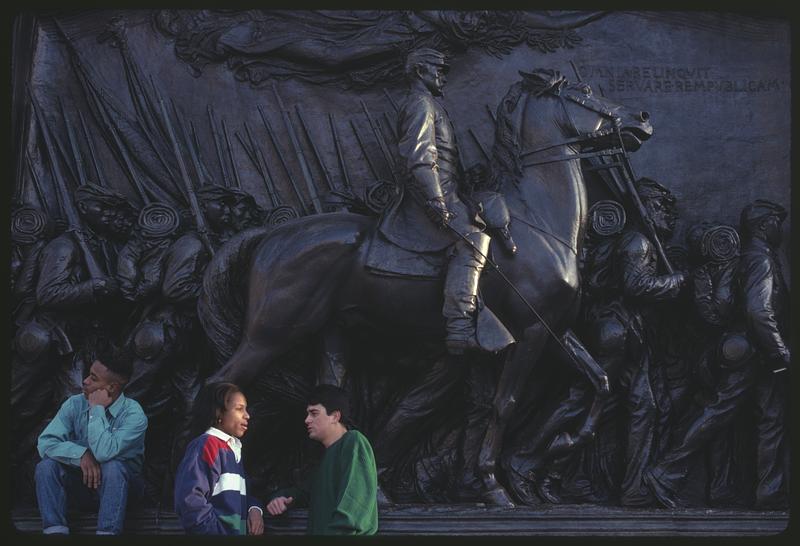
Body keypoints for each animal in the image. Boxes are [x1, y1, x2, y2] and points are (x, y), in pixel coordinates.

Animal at [198, 70, 648, 504]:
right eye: (585, 90)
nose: (641, 119)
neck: (537, 220)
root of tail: (271, 235)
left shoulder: (554, 329)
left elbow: (599, 381)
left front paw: (563, 442)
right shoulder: (530, 333)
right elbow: (504, 405)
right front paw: (493, 482)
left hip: (331, 333)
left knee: (328, 398)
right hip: (272, 333)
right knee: (218, 383)